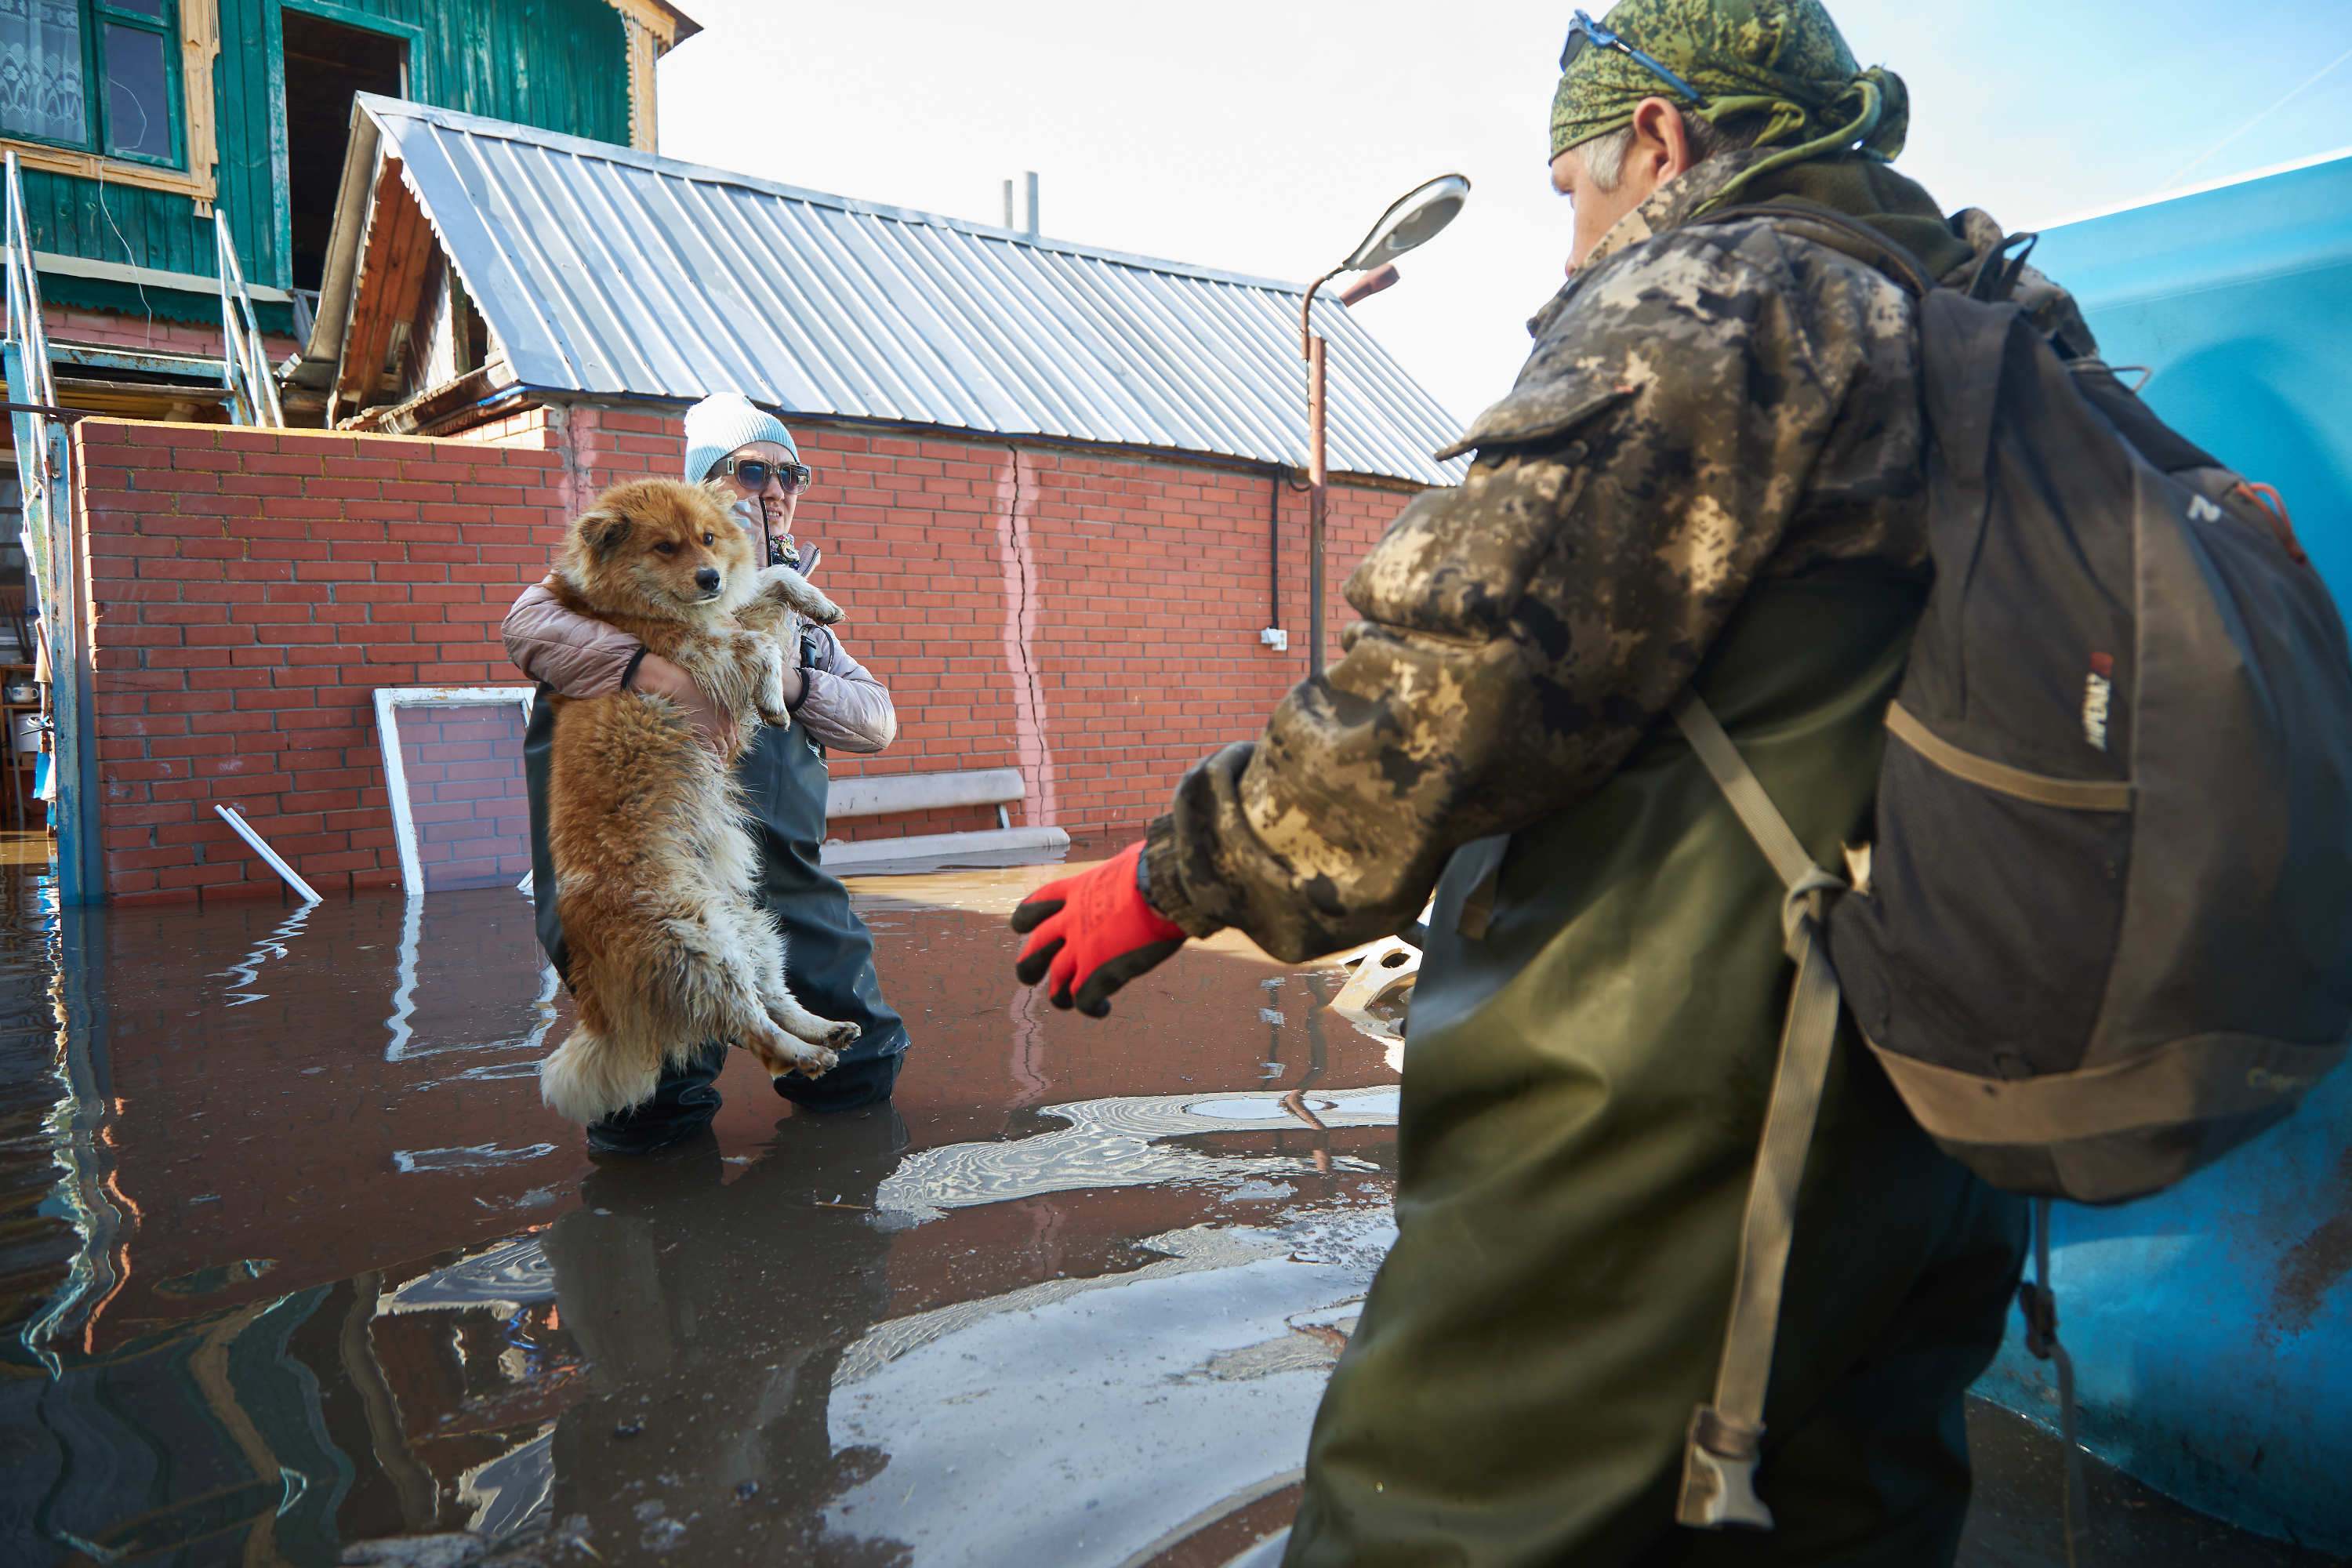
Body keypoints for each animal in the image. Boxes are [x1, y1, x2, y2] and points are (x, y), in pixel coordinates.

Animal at [539, 479, 861, 1128]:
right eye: (665, 547)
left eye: (708, 539)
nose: (711, 577)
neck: (643, 607)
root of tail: (597, 998)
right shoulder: (703, 650)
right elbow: (761, 644)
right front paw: (774, 699)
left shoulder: (724, 616)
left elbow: (773, 581)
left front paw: (817, 604)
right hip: (698, 941)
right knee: (753, 1031)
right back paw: (807, 1055)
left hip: (749, 929)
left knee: (772, 998)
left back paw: (825, 1029)